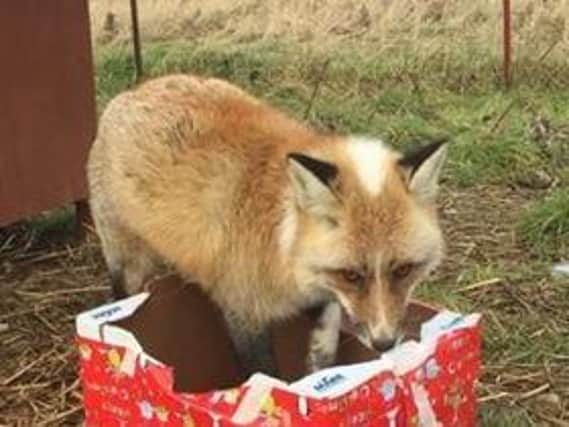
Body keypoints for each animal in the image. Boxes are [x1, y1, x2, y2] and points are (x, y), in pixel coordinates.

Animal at [86, 73, 446, 378]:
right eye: (351, 275)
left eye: (403, 270)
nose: (384, 342)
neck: (283, 240)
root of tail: (134, 90)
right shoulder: (242, 309)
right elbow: (264, 374)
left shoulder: (317, 294)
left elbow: (326, 336)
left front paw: (320, 369)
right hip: (129, 264)